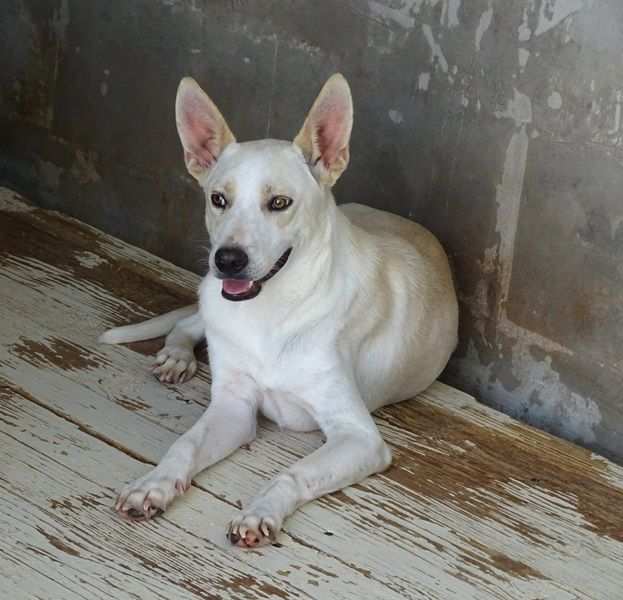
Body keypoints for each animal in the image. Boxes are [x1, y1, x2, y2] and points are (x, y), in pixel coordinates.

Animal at [101, 74, 458, 548]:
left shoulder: (359, 437)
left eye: (279, 203)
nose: (227, 260)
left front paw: (260, 512)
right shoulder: (233, 406)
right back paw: (176, 356)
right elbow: (185, 445)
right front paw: (153, 484)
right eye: (218, 199)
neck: (271, 313)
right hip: (209, 299)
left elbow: (293, 473)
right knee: (189, 321)